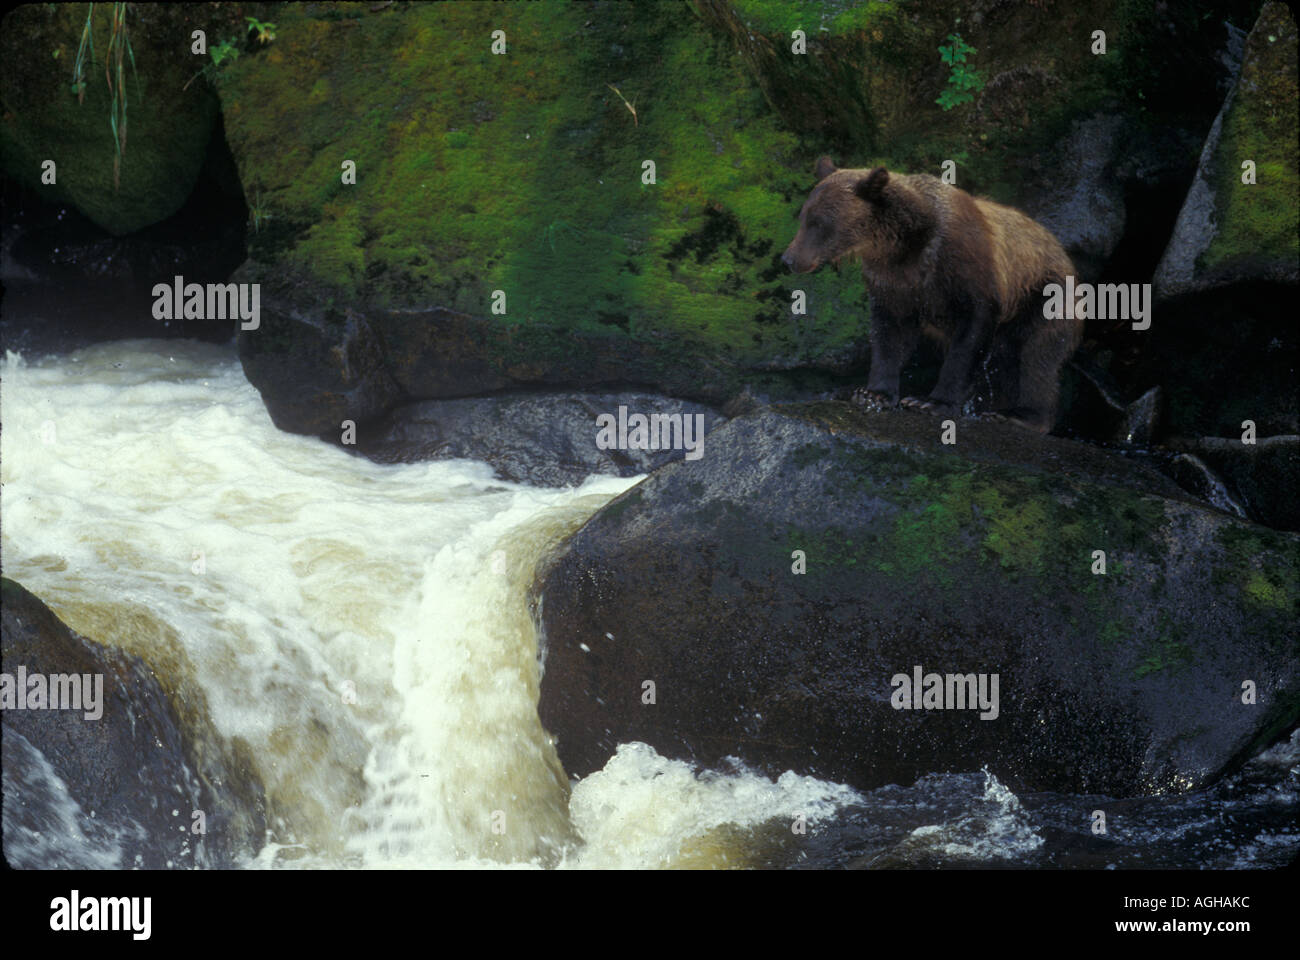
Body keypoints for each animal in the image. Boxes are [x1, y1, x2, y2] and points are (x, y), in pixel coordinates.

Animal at [782, 156, 1082, 433]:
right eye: (803, 217)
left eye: (819, 222)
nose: (788, 259)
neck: (904, 245)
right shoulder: (893, 282)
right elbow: (889, 335)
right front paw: (873, 393)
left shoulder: (965, 270)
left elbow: (970, 333)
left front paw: (931, 401)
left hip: (1042, 295)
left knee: (1036, 357)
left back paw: (1023, 415)